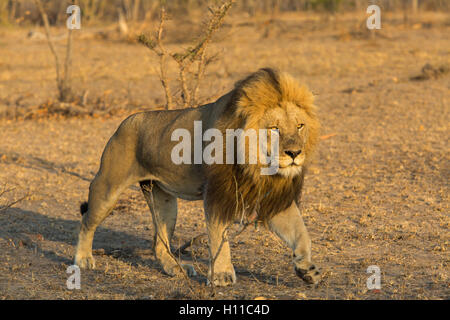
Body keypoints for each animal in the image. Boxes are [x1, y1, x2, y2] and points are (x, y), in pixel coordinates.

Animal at [74, 67, 320, 284]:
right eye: (274, 129)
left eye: (300, 125)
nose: (295, 153)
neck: (257, 164)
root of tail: (126, 121)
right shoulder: (216, 192)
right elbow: (219, 235)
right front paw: (221, 275)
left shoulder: (270, 196)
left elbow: (301, 232)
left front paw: (306, 268)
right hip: (108, 187)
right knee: (86, 221)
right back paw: (83, 259)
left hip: (164, 201)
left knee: (159, 243)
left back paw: (176, 269)